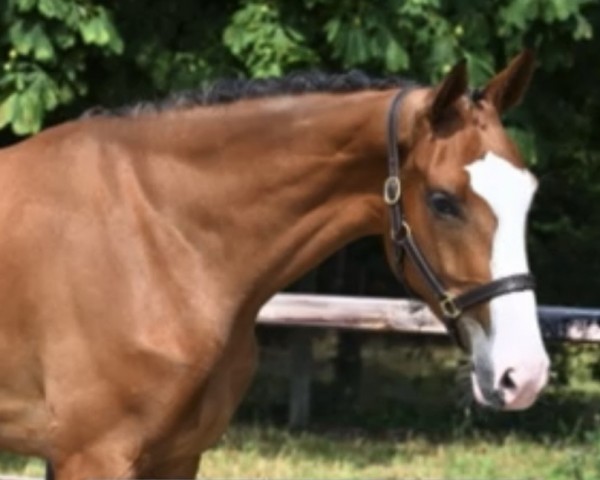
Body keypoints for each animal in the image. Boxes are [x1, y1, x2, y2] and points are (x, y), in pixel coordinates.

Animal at [0, 50, 548, 478]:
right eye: (442, 201)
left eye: (528, 194)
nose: (524, 374)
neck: (157, 235)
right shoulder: (94, 455)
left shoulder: (177, 455)